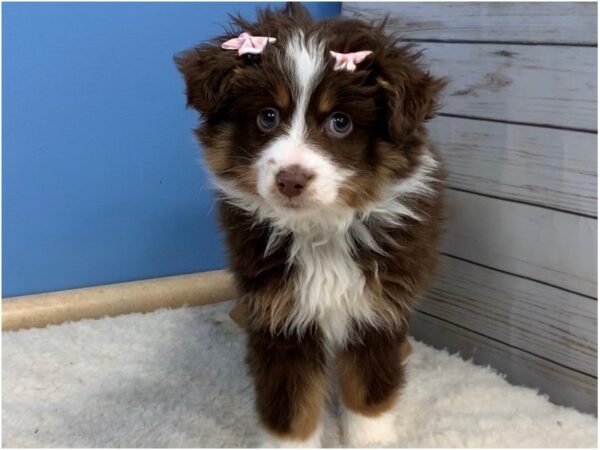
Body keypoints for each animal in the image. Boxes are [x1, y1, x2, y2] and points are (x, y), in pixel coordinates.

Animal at [176, 3, 442, 446]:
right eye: (268, 117)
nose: (291, 179)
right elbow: (292, 405)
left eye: (340, 122)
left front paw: (370, 438)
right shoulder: (281, 315)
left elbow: (368, 390)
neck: (321, 231)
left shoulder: (377, 307)